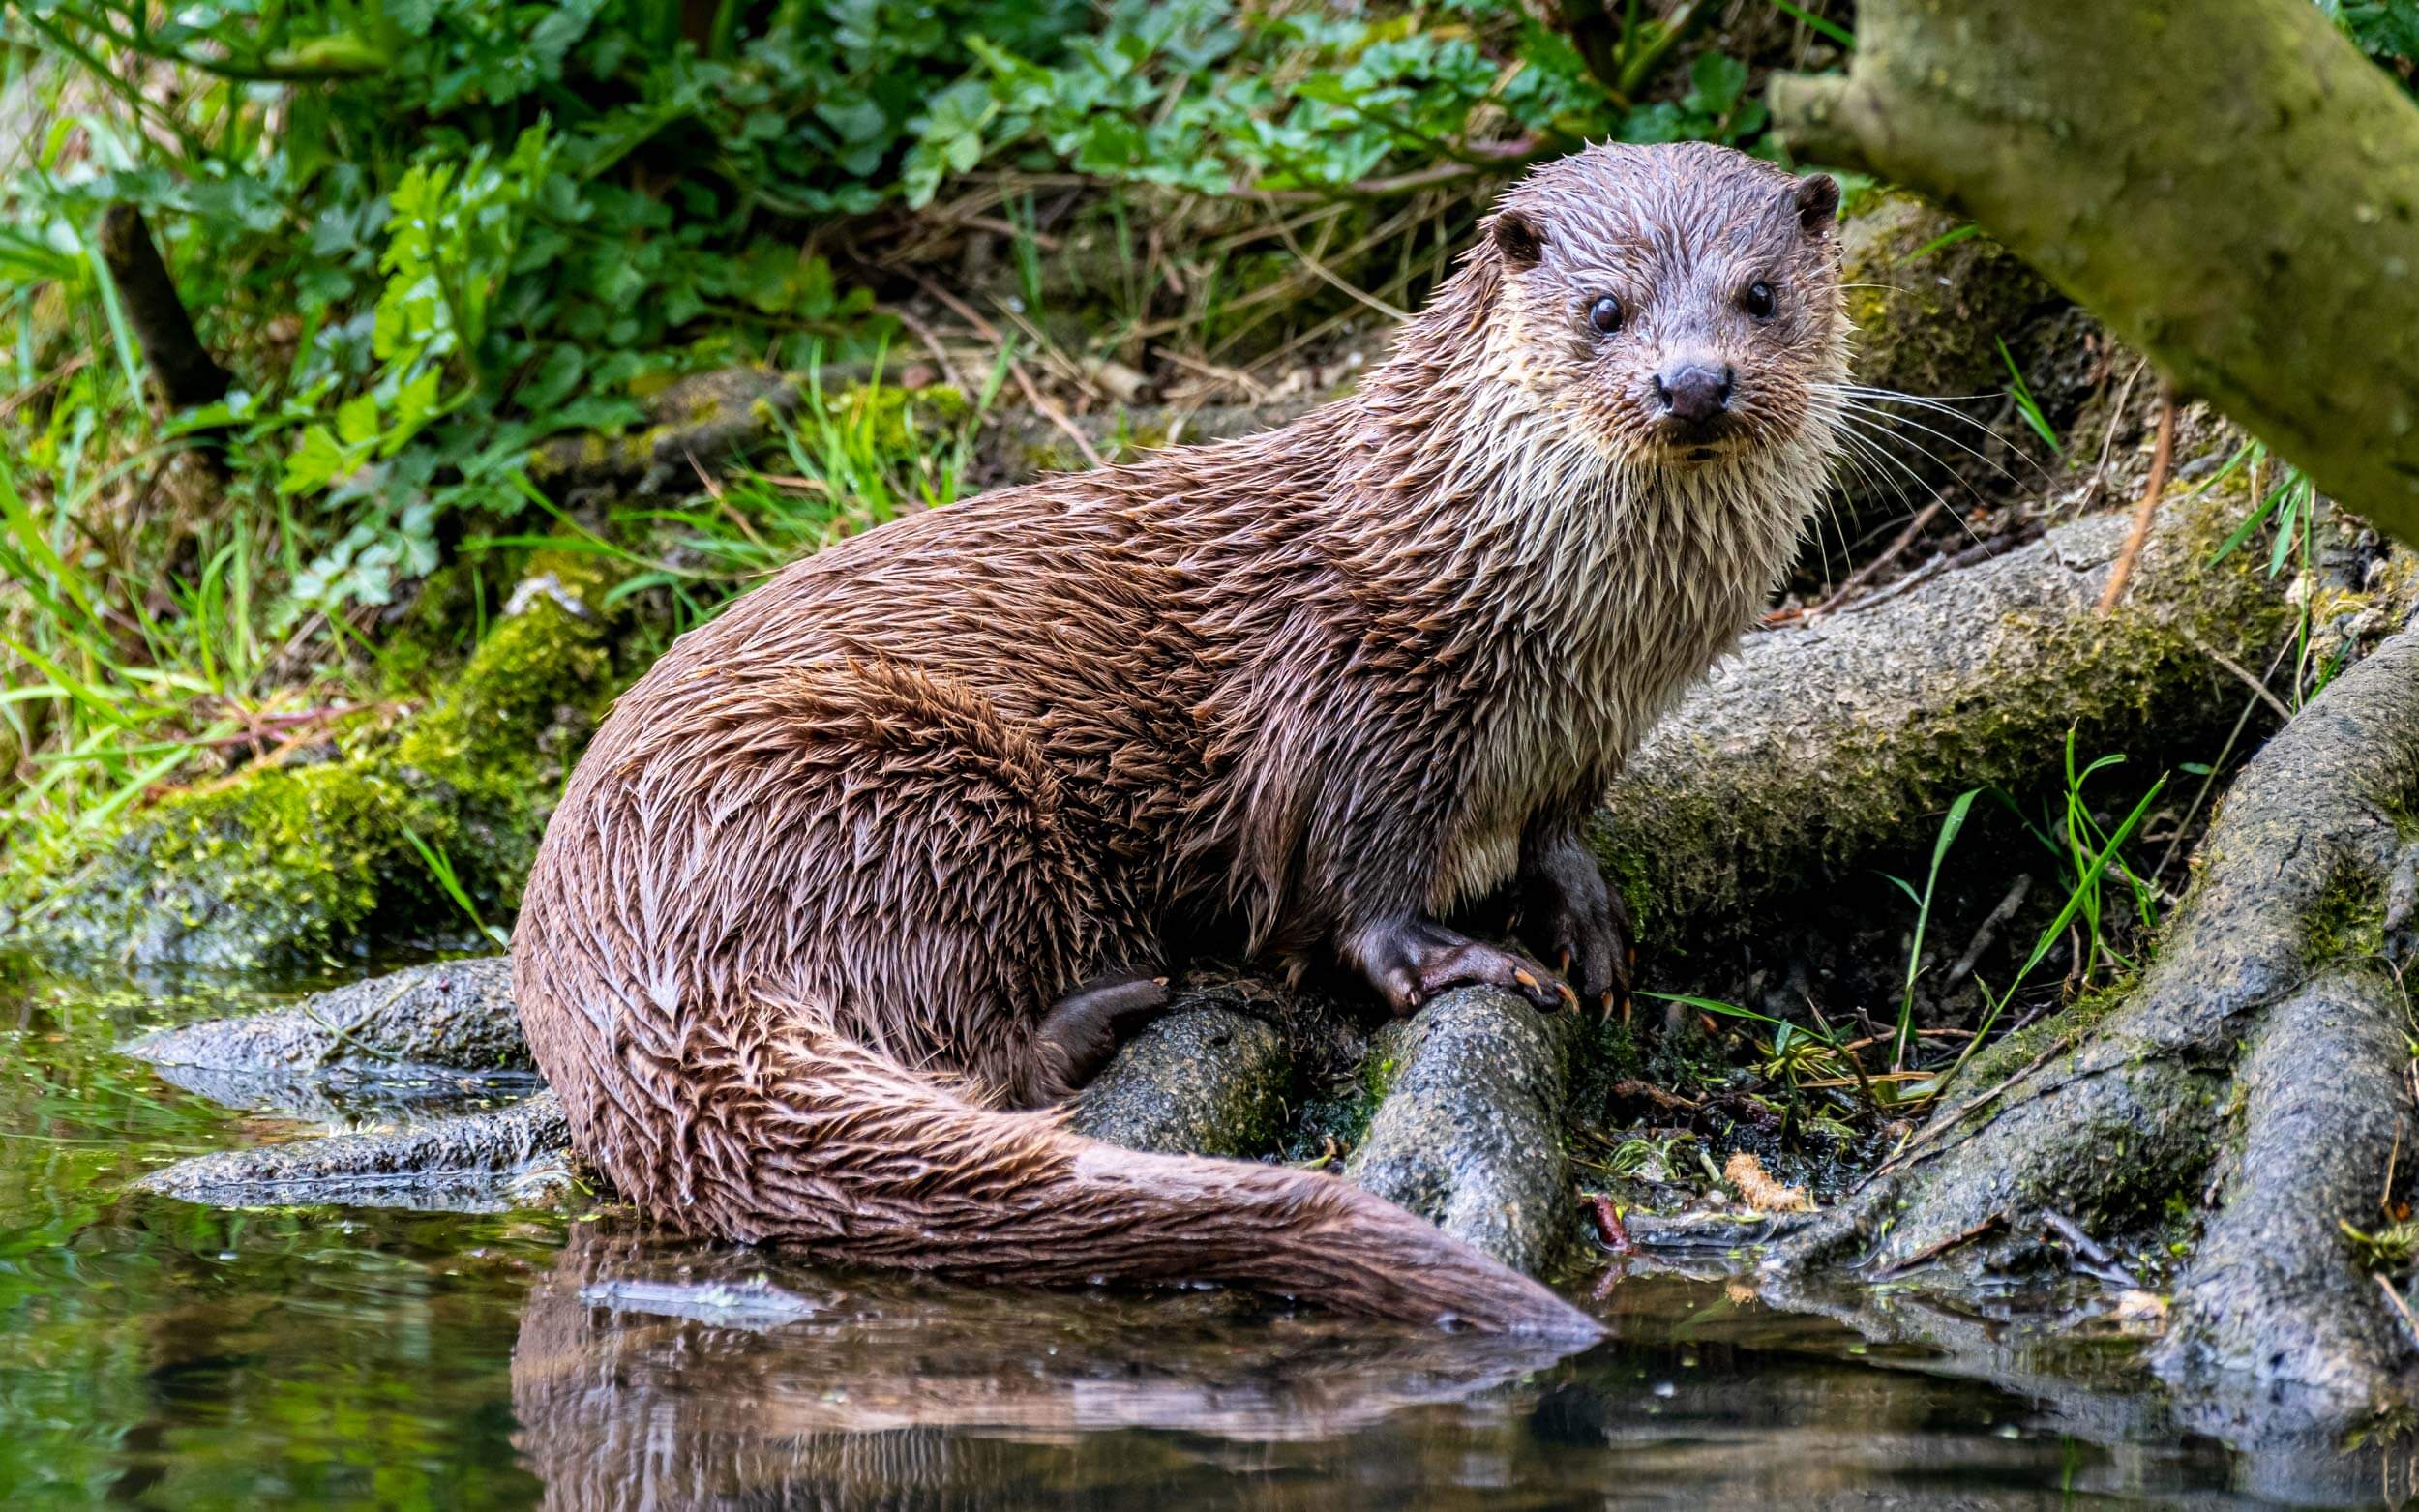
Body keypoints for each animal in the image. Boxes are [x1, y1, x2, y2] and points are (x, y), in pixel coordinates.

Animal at [512, 141, 1847, 1335]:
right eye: (1602, 308)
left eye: (1759, 294)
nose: (1692, 383)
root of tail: (612, 946)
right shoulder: (1354, 696)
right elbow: (1354, 890)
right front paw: (1454, 958)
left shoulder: (1586, 738)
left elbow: (1561, 833)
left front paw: (1583, 918)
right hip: (906, 781)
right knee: (969, 1051)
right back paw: (1114, 1005)